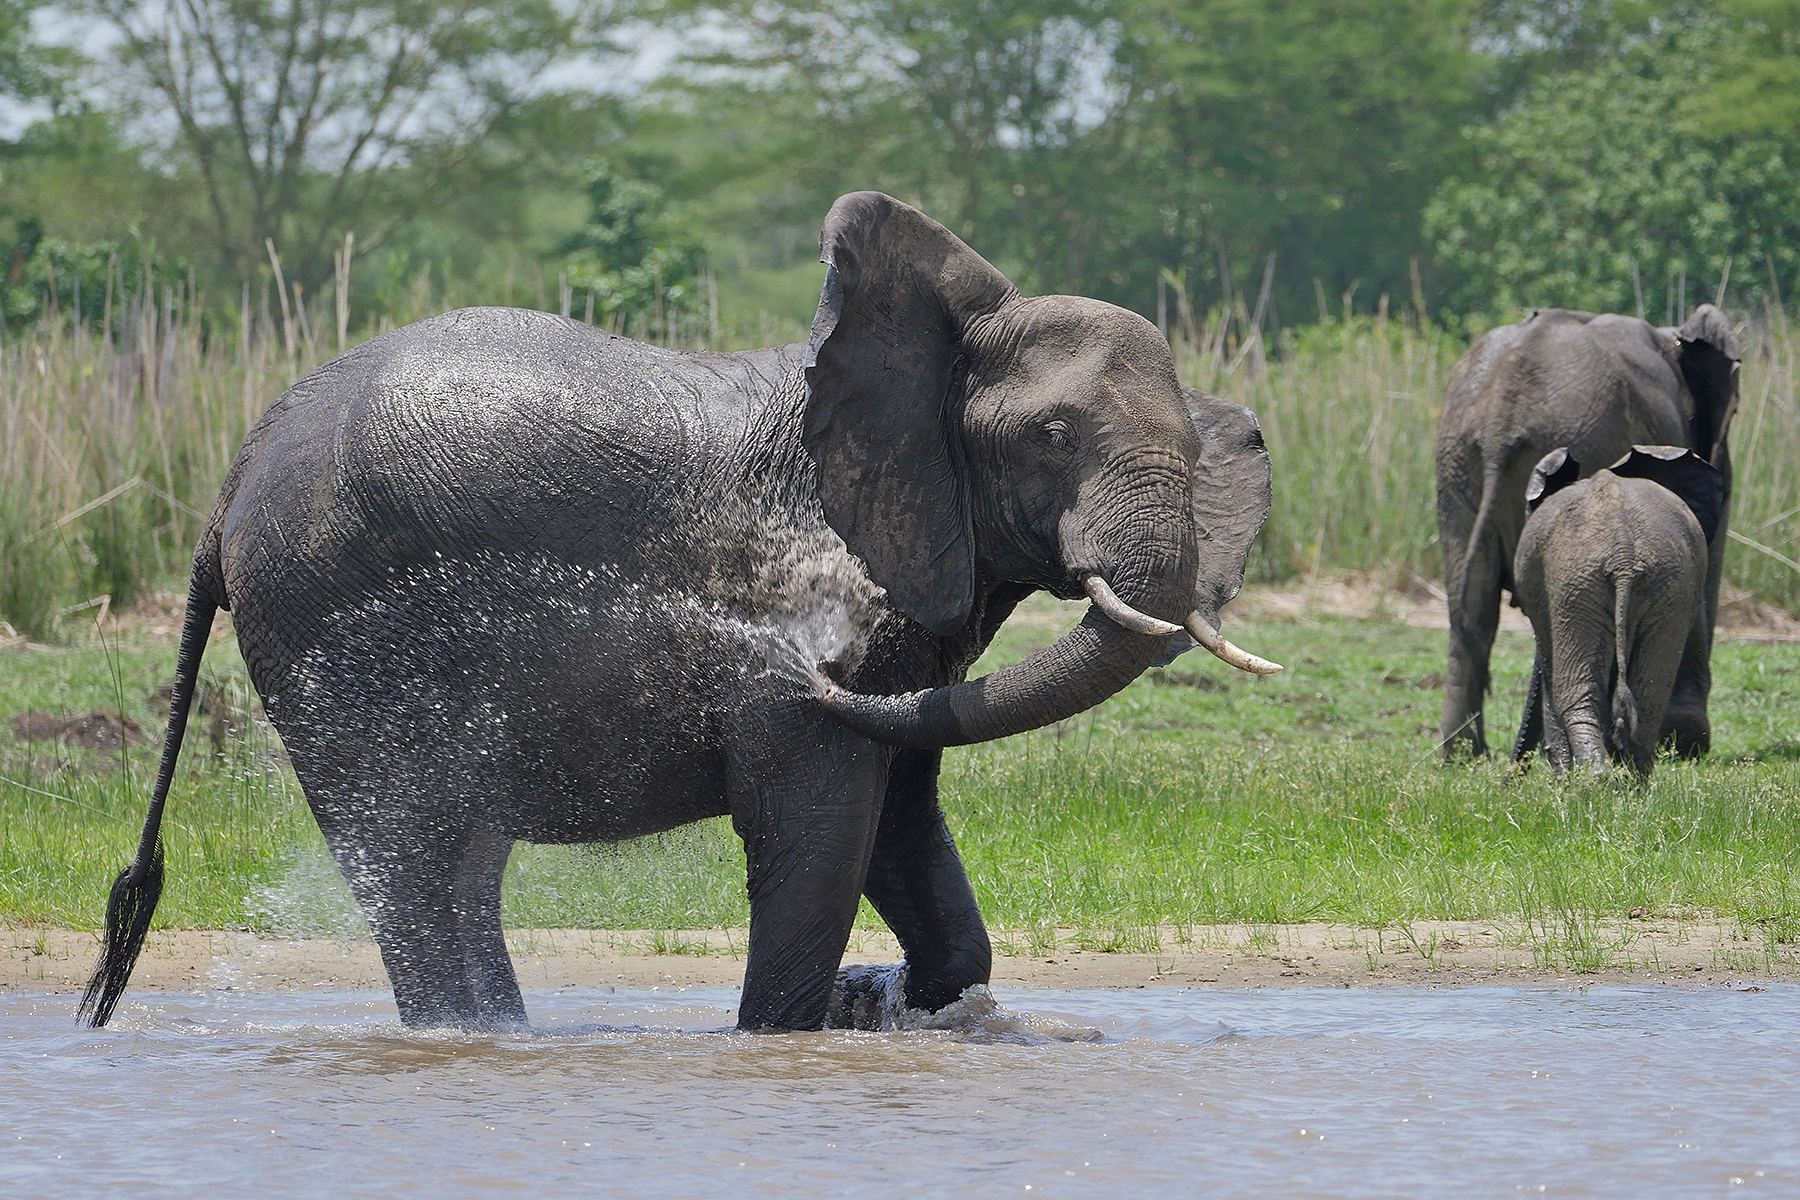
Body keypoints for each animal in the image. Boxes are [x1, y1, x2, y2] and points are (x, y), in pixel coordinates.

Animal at [80, 192, 1279, 1033]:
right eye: (1053, 438)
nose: (810, 664)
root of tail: (229, 482)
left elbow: (904, 817)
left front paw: (892, 1001)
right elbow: (821, 829)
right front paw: (799, 1026)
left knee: (457, 861)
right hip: (325, 628)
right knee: (411, 855)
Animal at [1510, 446, 1726, 777]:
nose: (1511, 780)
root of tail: (1623, 555)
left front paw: (1563, 779)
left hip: (1575, 583)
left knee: (1575, 693)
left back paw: (1595, 782)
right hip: (1661, 585)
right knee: (1648, 696)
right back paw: (1631, 783)